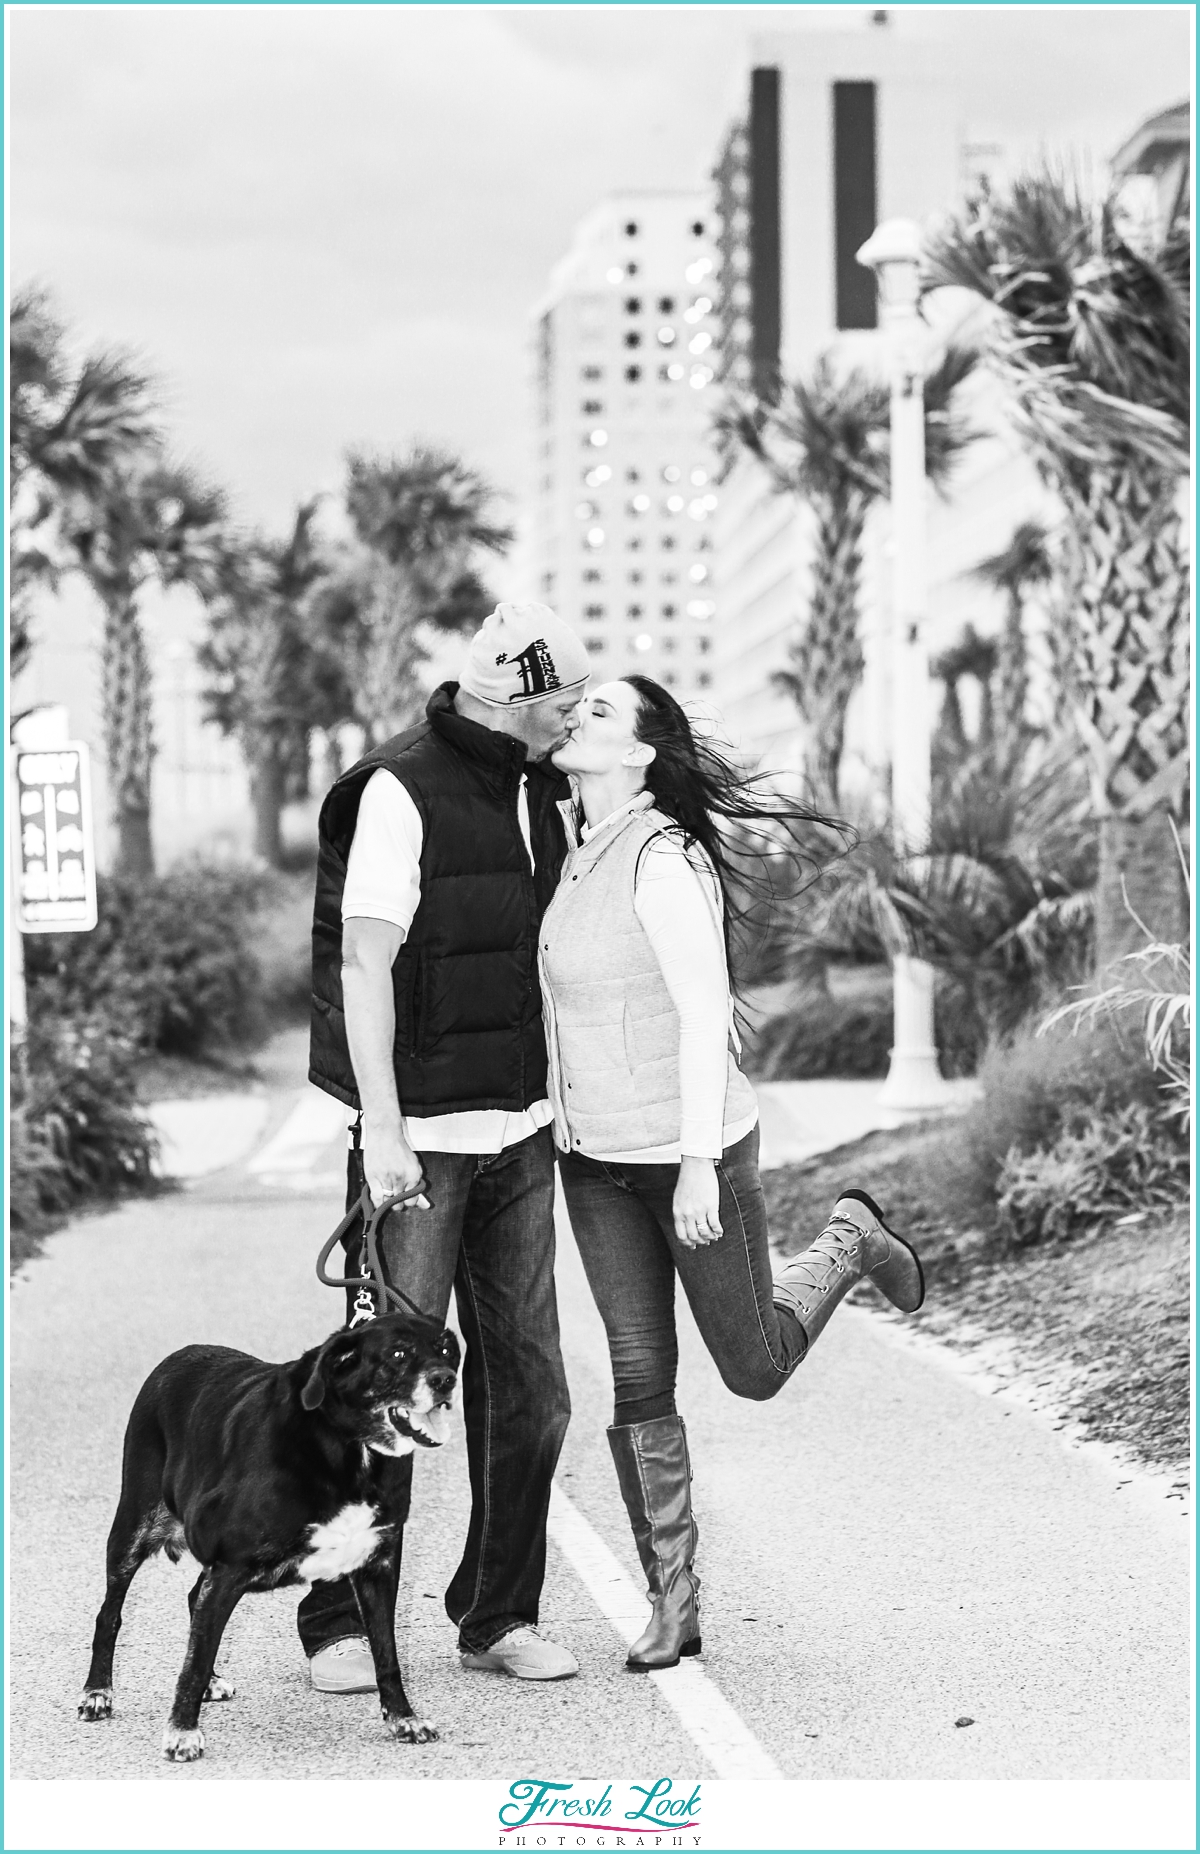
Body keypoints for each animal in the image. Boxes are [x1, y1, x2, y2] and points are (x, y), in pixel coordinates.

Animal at [76, 1312, 459, 1757]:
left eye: (446, 1349)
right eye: (398, 1354)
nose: (446, 1380)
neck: (346, 1449)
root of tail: (176, 1356)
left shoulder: (378, 1565)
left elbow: (387, 1653)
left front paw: (403, 1719)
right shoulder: (229, 1567)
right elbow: (194, 1659)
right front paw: (182, 1731)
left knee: (192, 1599)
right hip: (134, 1527)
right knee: (110, 1614)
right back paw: (97, 1693)